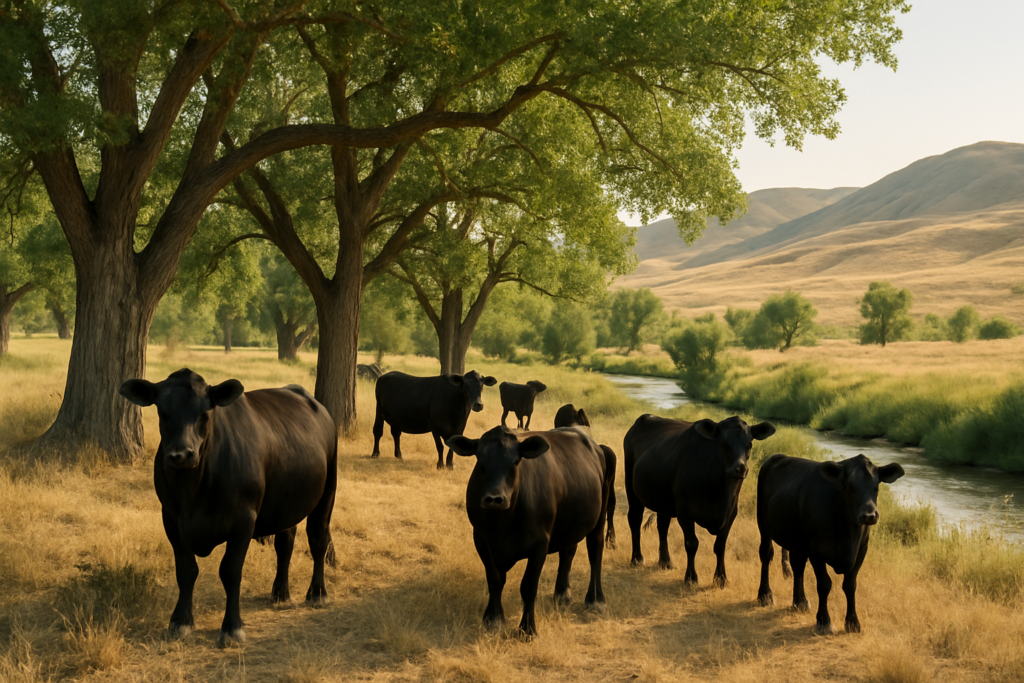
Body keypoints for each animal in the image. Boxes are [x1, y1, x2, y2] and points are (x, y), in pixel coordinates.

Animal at [118, 369, 337, 648]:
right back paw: (280, 593)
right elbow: (186, 571)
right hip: (285, 503)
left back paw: (317, 593)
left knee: (318, 539)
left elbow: (230, 571)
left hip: (328, 491)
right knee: (285, 543)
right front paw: (180, 621)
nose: (181, 454)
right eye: (163, 412)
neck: (194, 490)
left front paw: (232, 627)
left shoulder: (244, 521)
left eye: (204, 414)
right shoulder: (171, 519)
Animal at [447, 425, 614, 636]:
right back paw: (562, 593)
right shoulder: (481, 539)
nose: (494, 498)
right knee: (567, 552)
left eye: (515, 462)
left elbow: (528, 586)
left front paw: (527, 629)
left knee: (595, 552)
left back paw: (596, 599)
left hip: (600, 516)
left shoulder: (540, 544)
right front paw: (493, 619)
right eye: (480, 460)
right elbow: (495, 579)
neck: (501, 525)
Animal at [624, 414, 775, 587]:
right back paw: (637, 558)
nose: (741, 468)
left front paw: (721, 578)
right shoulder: (684, 511)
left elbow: (720, 546)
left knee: (662, 526)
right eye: (724, 443)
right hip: (631, 488)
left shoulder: (731, 512)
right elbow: (692, 543)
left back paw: (665, 561)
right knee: (635, 519)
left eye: (749, 444)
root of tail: (645, 418)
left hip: (663, 501)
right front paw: (691, 577)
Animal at [755, 453, 905, 635]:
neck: (847, 532)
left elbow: (850, 585)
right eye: (849, 486)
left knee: (797, 566)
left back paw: (800, 601)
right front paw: (824, 621)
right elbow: (824, 584)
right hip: (763, 525)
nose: (869, 515)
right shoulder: (816, 550)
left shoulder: (861, 549)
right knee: (766, 555)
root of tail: (777, 457)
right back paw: (765, 595)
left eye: (876, 486)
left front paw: (853, 622)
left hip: (798, 541)